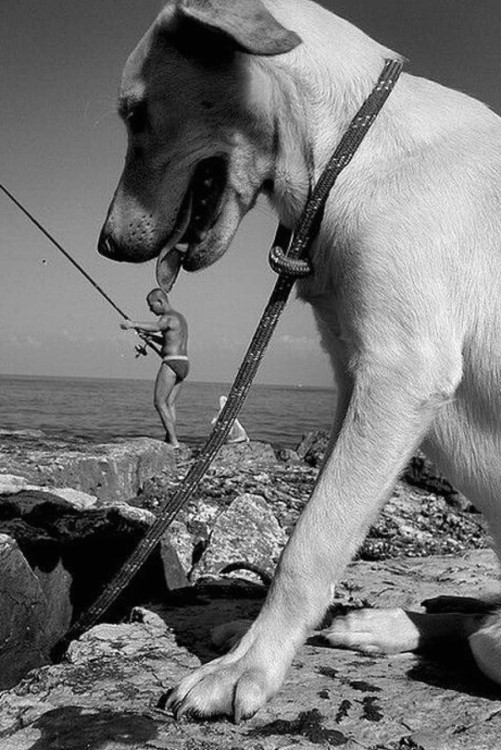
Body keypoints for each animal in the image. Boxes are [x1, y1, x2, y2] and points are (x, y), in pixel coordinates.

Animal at [98, 0, 501, 724]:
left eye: (137, 114)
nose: (105, 244)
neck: (352, 150)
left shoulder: (399, 374)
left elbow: (308, 545)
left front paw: (248, 668)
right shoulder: (354, 380)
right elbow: (315, 526)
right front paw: (253, 641)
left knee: (484, 628)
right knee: (476, 625)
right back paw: (370, 626)